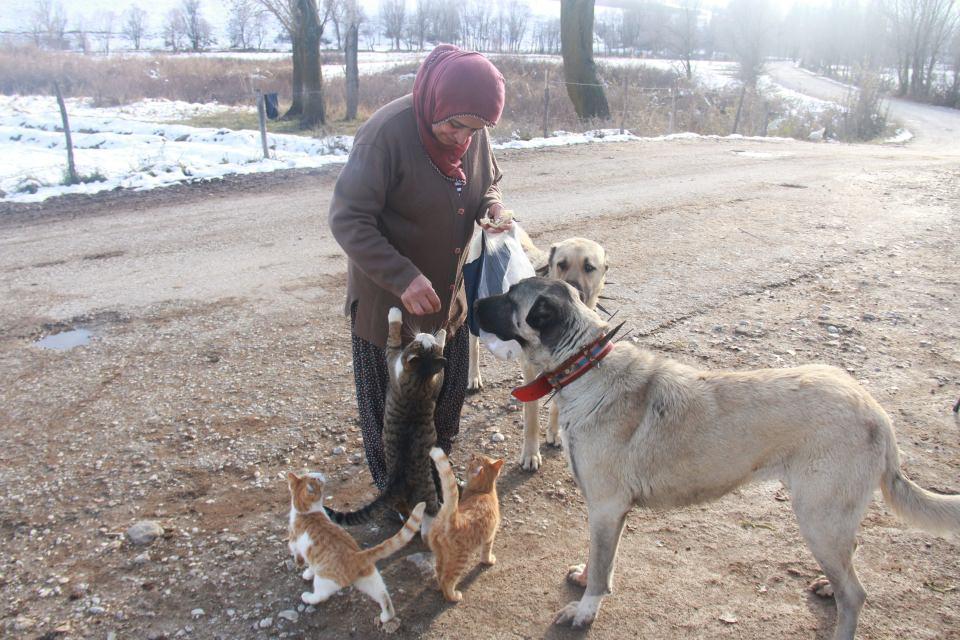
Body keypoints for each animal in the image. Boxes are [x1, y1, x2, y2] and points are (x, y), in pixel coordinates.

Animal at [286, 470, 426, 632]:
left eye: (315, 477)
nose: (319, 473)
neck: (305, 511)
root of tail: (356, 555)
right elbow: (309, 564)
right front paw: (308, 571)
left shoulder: (294, 544)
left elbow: (302, 559)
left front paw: (304, 570)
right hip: (370, 579)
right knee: (384, 597)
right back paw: (386, 616)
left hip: (324, 580)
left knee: (321, 595)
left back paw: (308, 597)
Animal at [324, 308, 448, 528]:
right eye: (422, 342)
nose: (425, 334)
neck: (420, 377)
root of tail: (393, 485)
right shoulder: (435, 379)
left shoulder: (393, 357)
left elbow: (393, 336)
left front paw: (396, 313)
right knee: (402, 507)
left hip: (427, 495)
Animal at [426, 448, 502, 604]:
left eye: (475, 458)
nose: (472, 454)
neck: (483, 491)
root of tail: (451, 518)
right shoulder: (490, 536)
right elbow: (486, 552)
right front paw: (489, 561)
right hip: (460, 559)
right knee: (447, 580)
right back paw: (453, 597)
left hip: (440, 554)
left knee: (439, 573)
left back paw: (439, 589)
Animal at [464, 234, 608, 470]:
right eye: (561, 264)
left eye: (589, 267)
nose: (573, 290)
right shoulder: (531, 370)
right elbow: (531, 415)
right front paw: (531, 453)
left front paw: (554, 431)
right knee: (473, 347)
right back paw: (474, 377)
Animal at [474, 278, 960, 640]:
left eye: (508, 298)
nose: (474, 300)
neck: (584, 364)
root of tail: (877, 413)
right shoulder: (610, 514)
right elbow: (601, 560)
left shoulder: (606, 508)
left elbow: (600, 573)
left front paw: (583, 612)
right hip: (831, 517)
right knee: (850, 562)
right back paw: (828, 587)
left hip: (818, 517)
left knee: (856, 595)